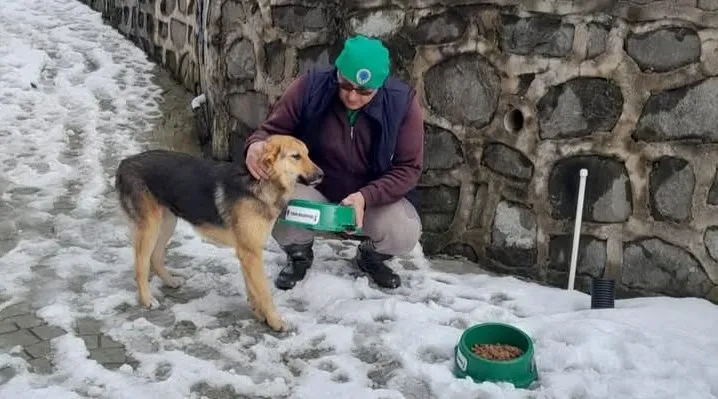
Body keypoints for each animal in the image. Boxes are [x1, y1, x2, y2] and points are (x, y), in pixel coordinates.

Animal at [114, 134, 324, 332]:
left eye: (308, 154)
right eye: (296, 156)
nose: (322, 174)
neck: (262, 182)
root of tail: (125, 163)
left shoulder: (247, 252)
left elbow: (252, 287)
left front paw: (258, 313)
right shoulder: (251, 253)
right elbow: (263, 290)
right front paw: (274, 321)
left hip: (167, 223)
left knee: (155, 257)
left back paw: (170, 281)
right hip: (150, 227)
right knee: (141, 266)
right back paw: (146, 299)